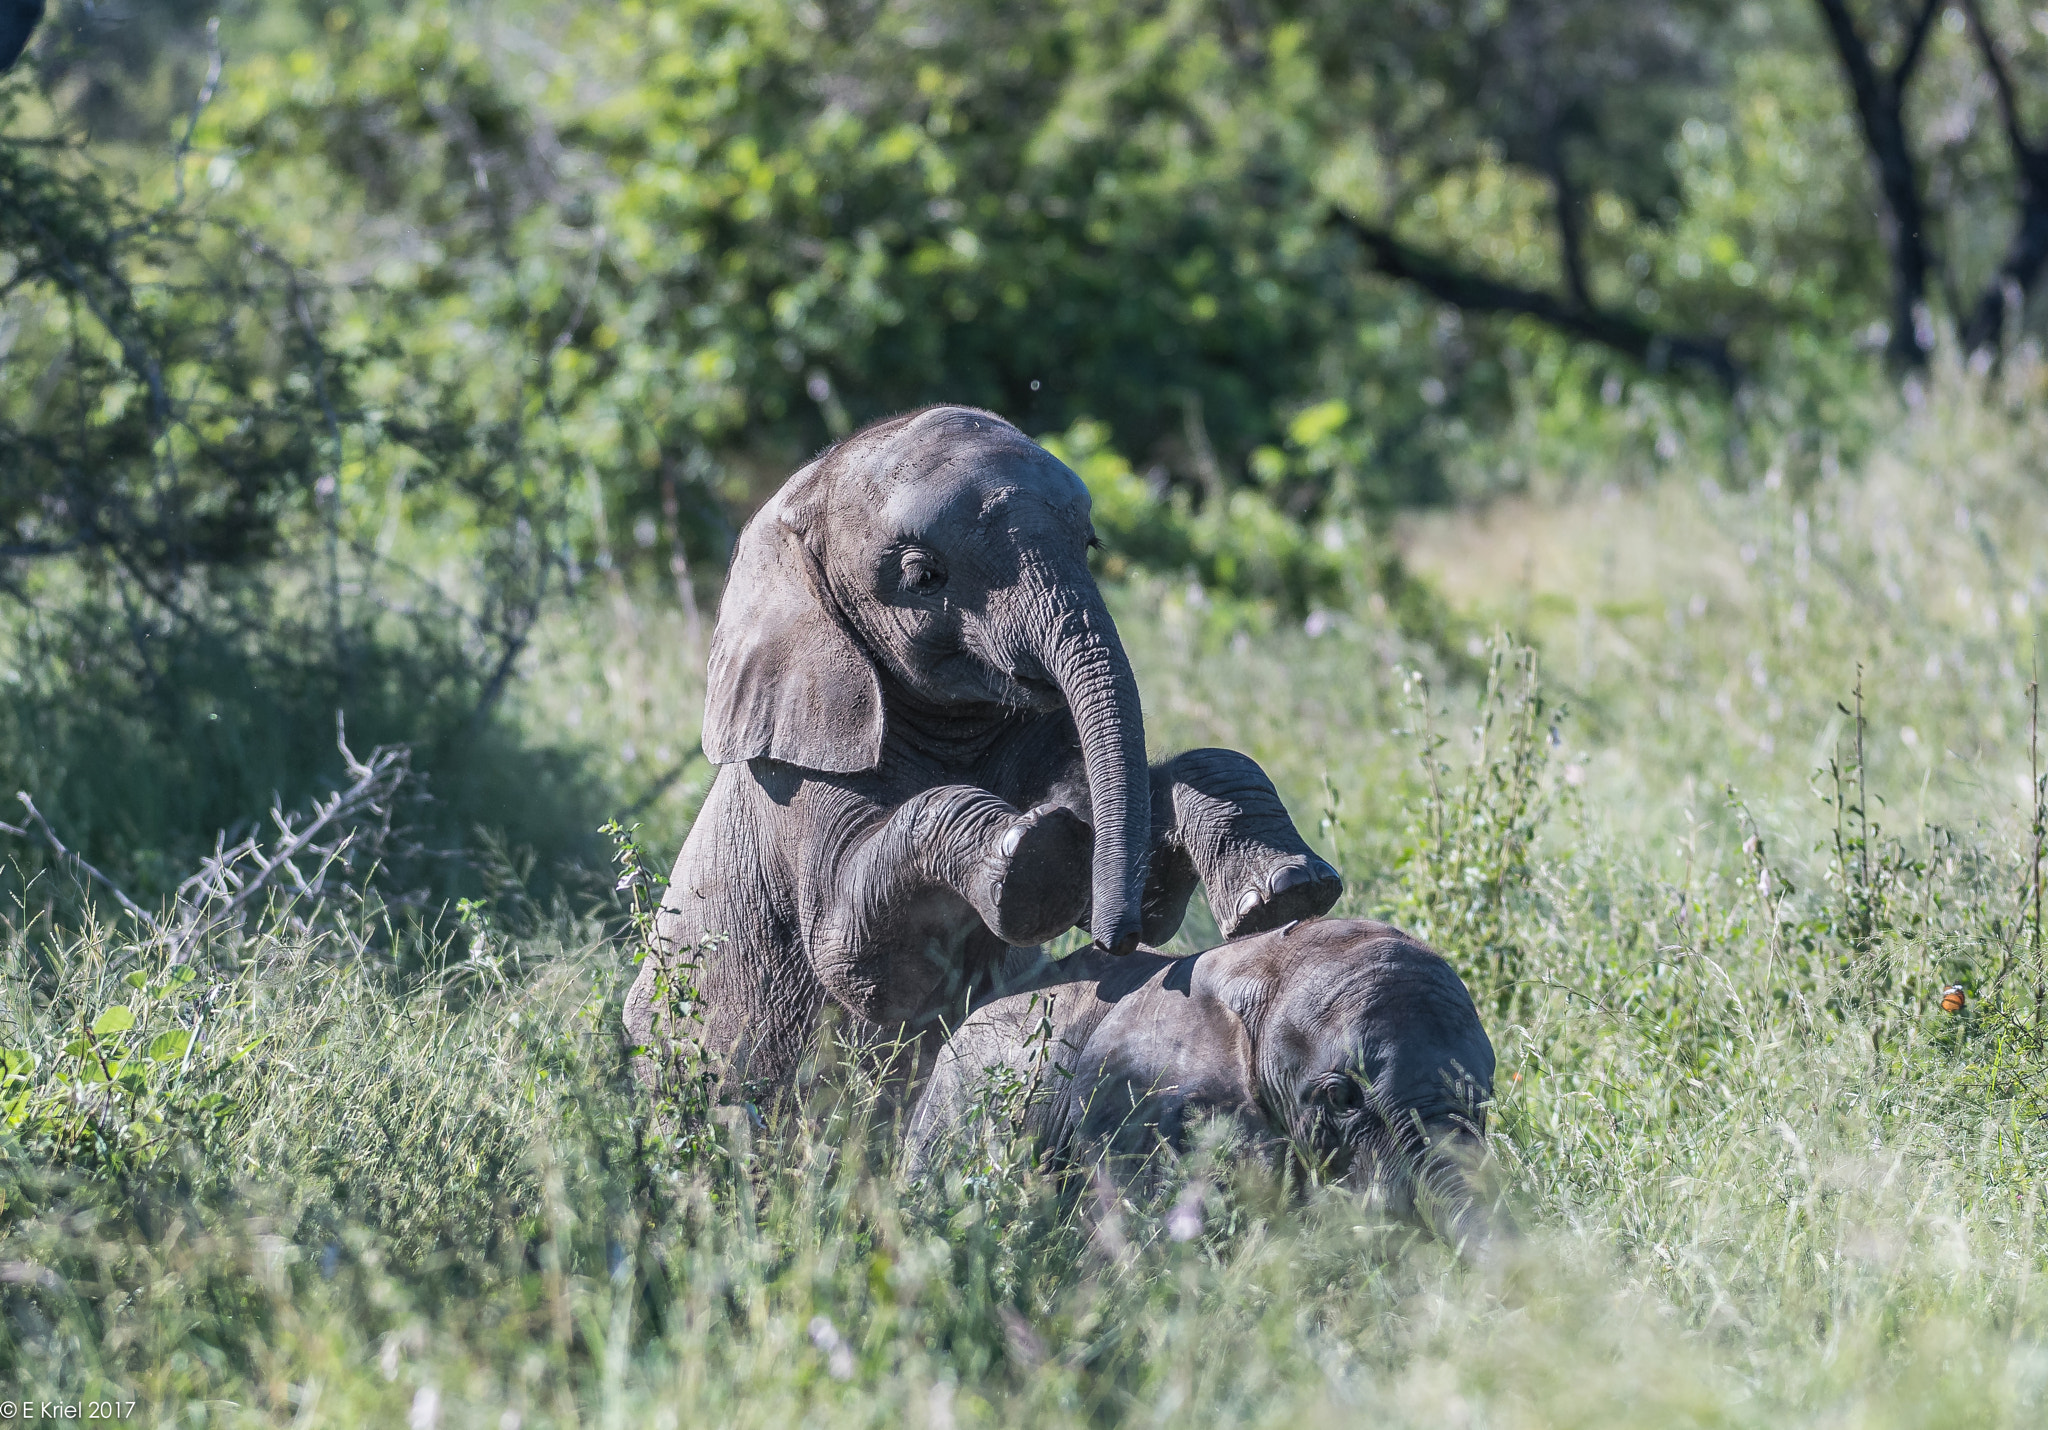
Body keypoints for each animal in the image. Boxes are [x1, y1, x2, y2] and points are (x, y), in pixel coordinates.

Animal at [634, 405, 1343, 1089]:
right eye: (923, 576)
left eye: (1090, 544)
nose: (1119, 942)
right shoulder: (800, 773)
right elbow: (856, 960)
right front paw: (1033, 858)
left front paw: (1287, 894)